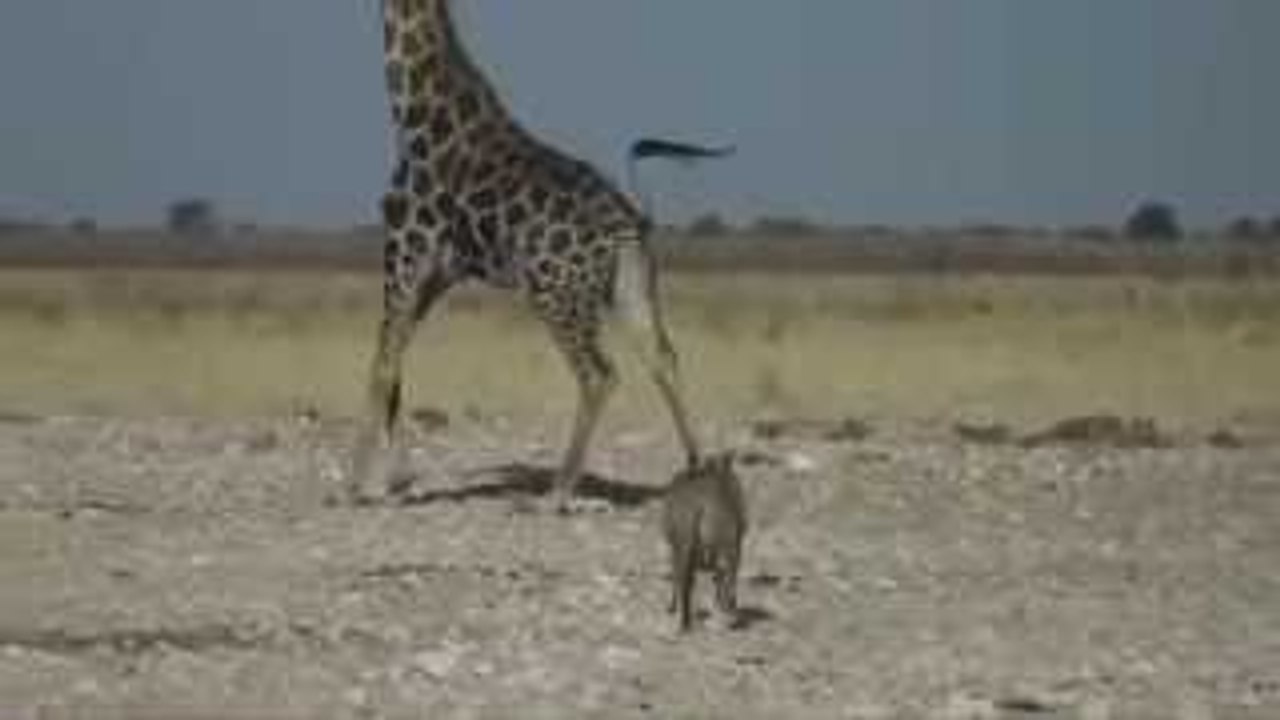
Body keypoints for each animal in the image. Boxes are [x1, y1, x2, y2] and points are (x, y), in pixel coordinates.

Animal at [351, 0, 724, 510]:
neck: (414, 118)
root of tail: (631, 224)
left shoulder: (405, 248)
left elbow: (382, 365)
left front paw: (360, 485)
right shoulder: (439, 274)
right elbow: (396, 363)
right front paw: (394, 480)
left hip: (554, 292)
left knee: (599, 374)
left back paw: (555, 494)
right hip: (630, 286)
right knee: (663, 357)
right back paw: (697, 471)